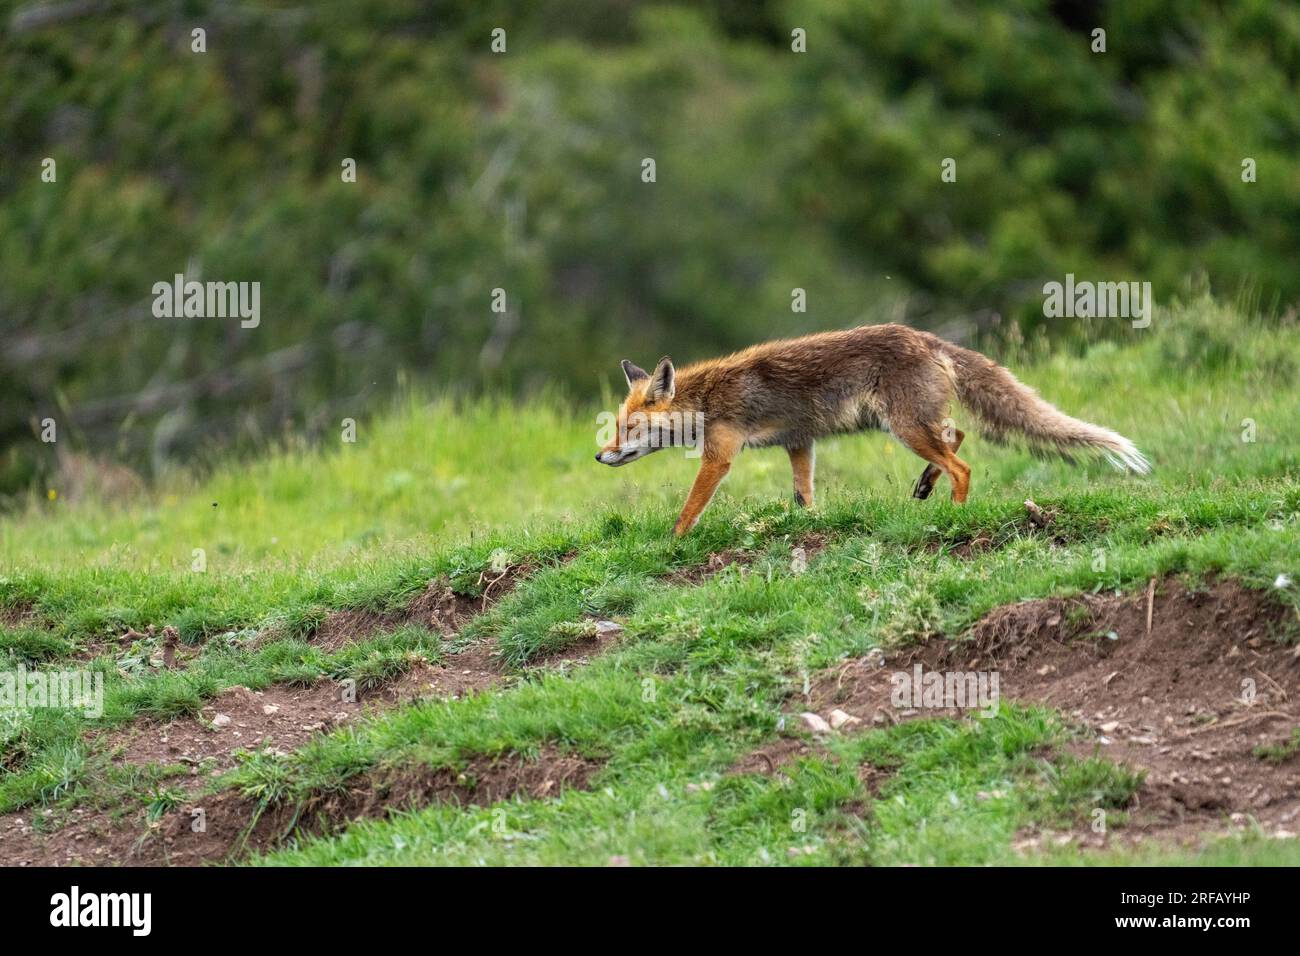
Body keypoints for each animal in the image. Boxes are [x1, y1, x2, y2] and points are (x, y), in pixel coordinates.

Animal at [595, 321, 1149, 530]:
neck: (706, 400)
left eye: (629, 428)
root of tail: (925, 336)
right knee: (957, 437)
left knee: (964, 465)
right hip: (913, 425)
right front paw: (808, 524)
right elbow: (804, 496)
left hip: (904, 428)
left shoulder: (720, 456)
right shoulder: (800, 444)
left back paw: (954, 513)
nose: (599, 456)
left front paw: (673, 543)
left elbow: (687, 511)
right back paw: (926, 485)